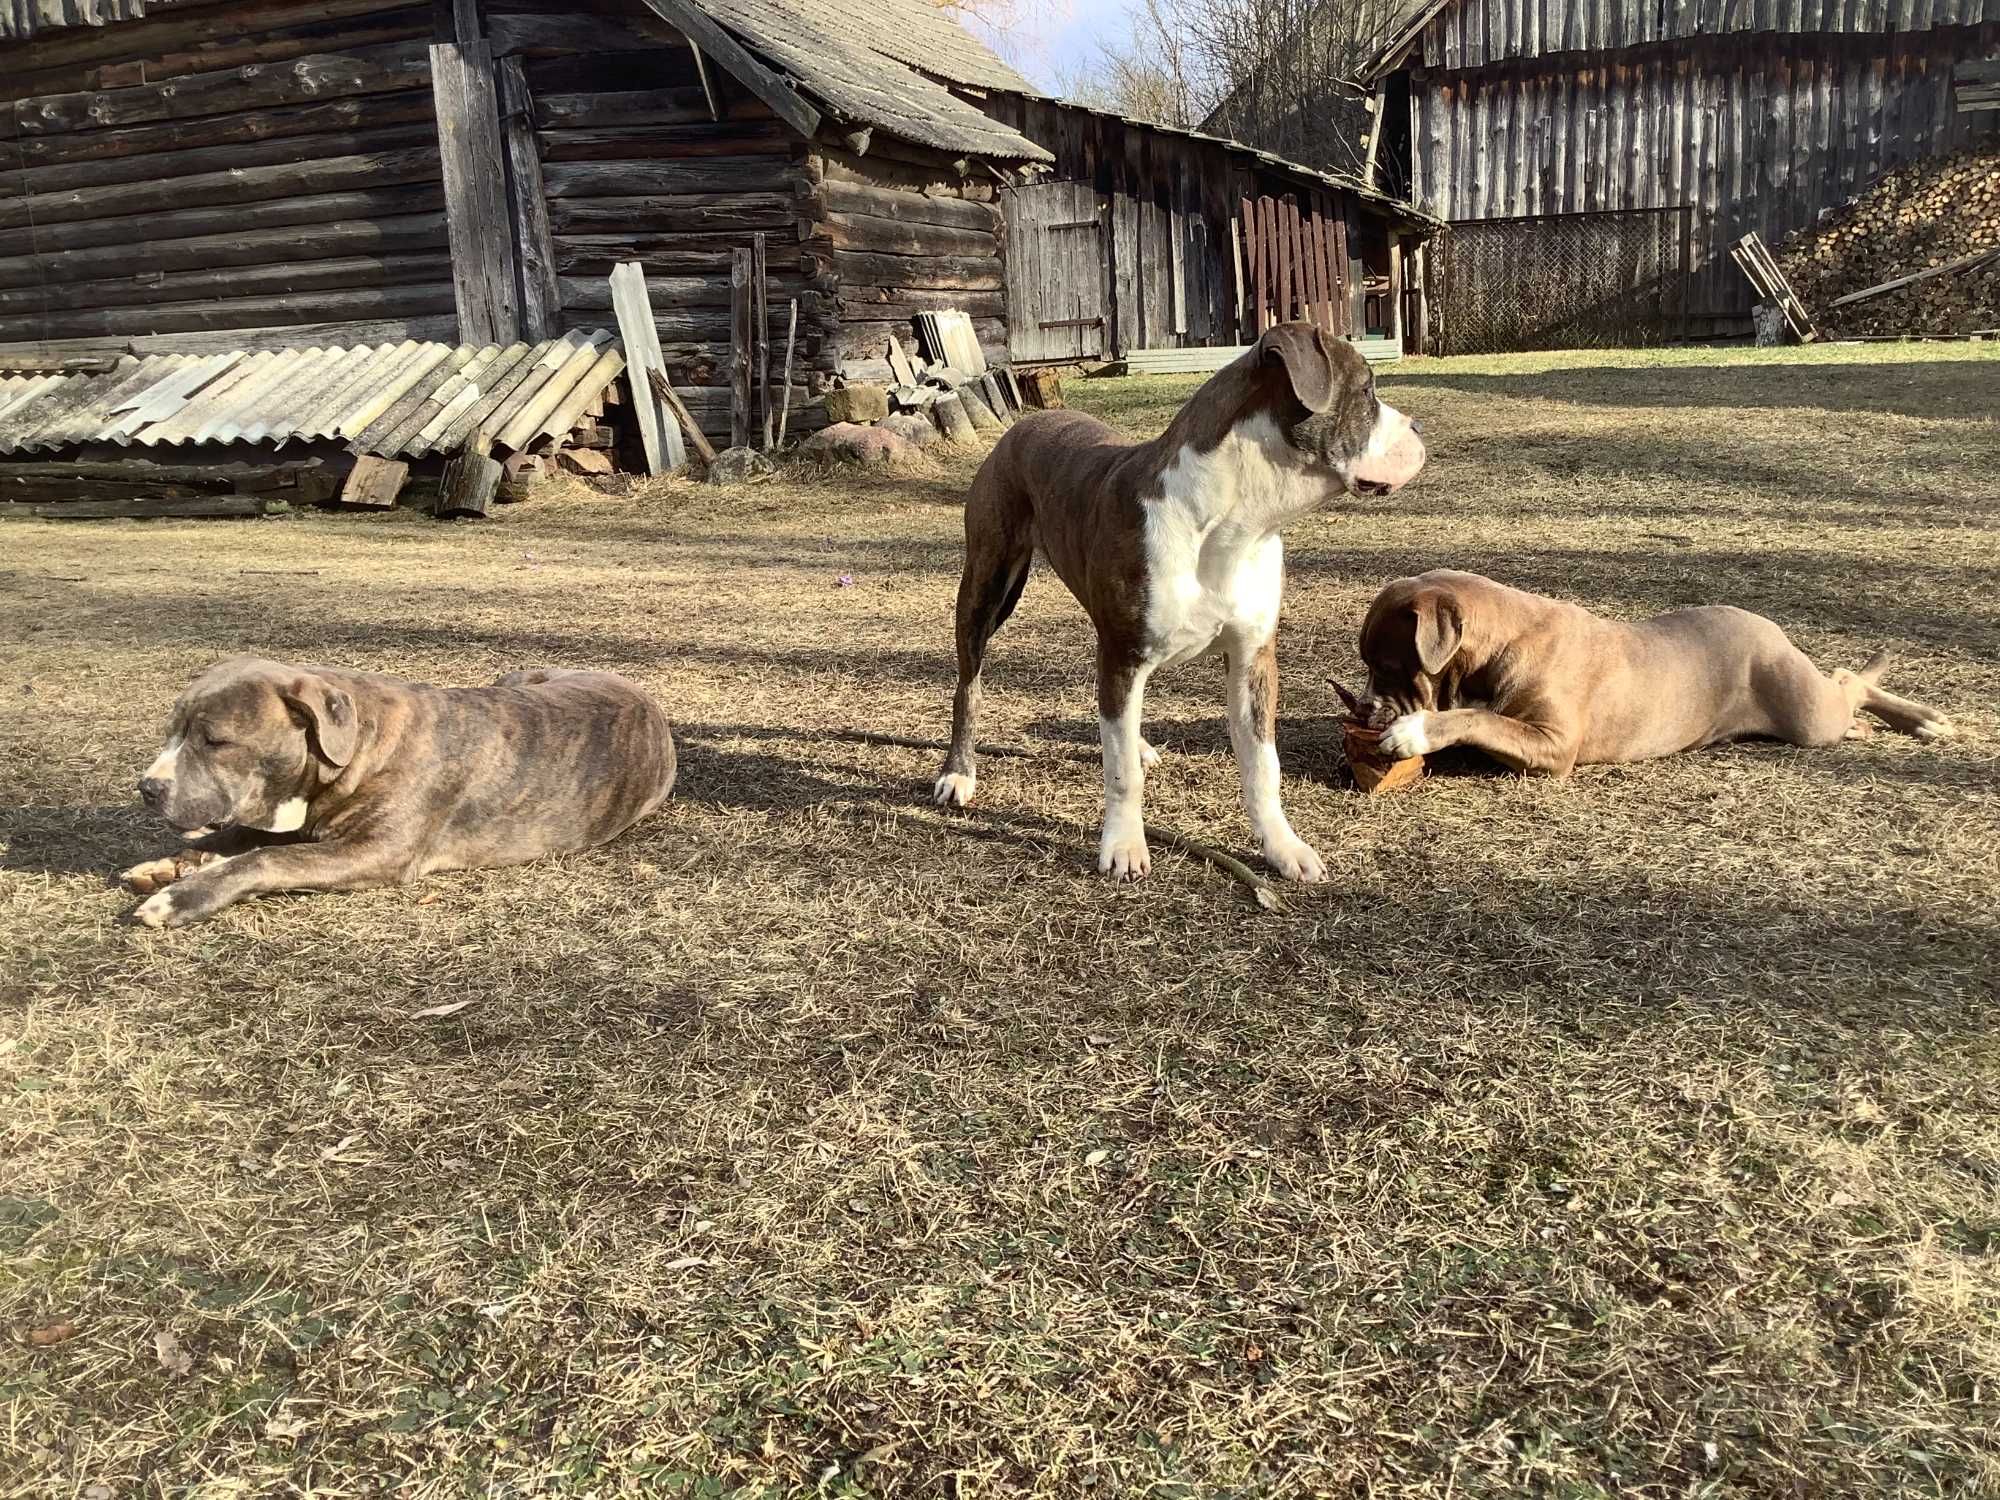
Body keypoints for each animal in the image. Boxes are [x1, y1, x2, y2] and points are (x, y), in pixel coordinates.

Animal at [123, 656, 672, 928]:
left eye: (216, 741)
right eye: (171, 733)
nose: (148, 787)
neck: (361, 748)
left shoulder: (375, 851)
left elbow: (265, 858)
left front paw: (183, 896)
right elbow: (237, 838)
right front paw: (168, 865)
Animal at [932, 318, 1424, 880]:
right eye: (1366, 391)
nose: (1419, 430)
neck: (1232, 521)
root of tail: (1023, 425)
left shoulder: (1253, 658)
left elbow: (1262, 764)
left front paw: (1283, 847)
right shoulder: (1125, 653)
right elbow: (1121, 772)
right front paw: (1124, 845)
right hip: (986, 587)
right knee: (969, 684)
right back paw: (959, 771)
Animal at [1360, 568, 1952, 776]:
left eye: (1387, 665)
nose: (1366, 706)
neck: (1501, 641)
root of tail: (1770, 626)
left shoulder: (1553, 743)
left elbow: (1481, 720)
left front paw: (1414, 730)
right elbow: (1477, 716)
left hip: (1807, 714)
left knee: (1850, 678)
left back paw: (1925, 719)